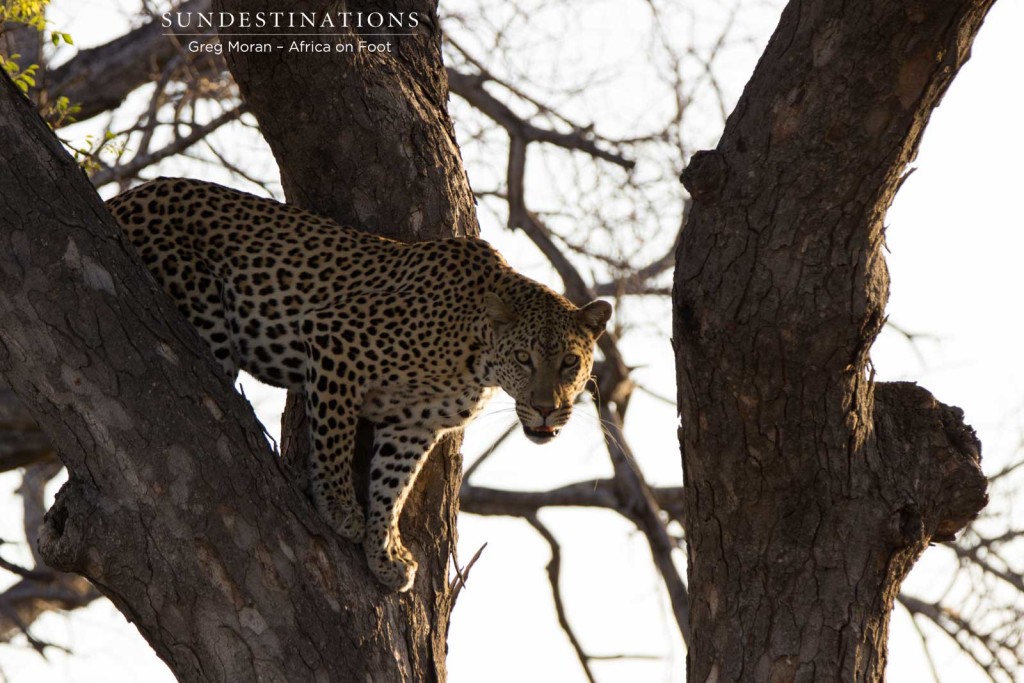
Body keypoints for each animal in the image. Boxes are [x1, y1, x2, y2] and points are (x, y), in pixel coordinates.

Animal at [108, 178, 610, 593]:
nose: (545, 408)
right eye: (525, 359)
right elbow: (336, 438)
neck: (478, 357)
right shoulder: (336, 341)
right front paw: (340, 509)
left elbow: (392, 485)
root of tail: (122, 198)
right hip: (204, 308)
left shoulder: (413, 425)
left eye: (569, 363)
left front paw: (385, 553)